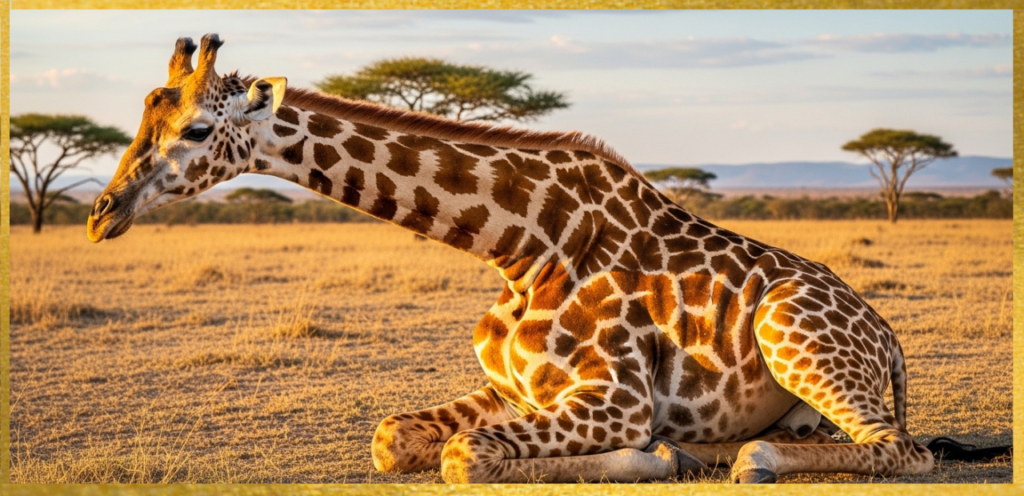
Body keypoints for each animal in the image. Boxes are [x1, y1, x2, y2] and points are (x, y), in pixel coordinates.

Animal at [87, 34, 938, 483]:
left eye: (198, 131)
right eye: (143, 118)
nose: (101, 215)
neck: (521, 246)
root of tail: (888, 338)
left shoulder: (617, 397)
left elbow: (468, 458)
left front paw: (652, 455)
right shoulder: (513, 388)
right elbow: (393, 438)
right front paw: (665, 454)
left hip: (791, 334)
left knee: (904, 450)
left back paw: (752, 457)